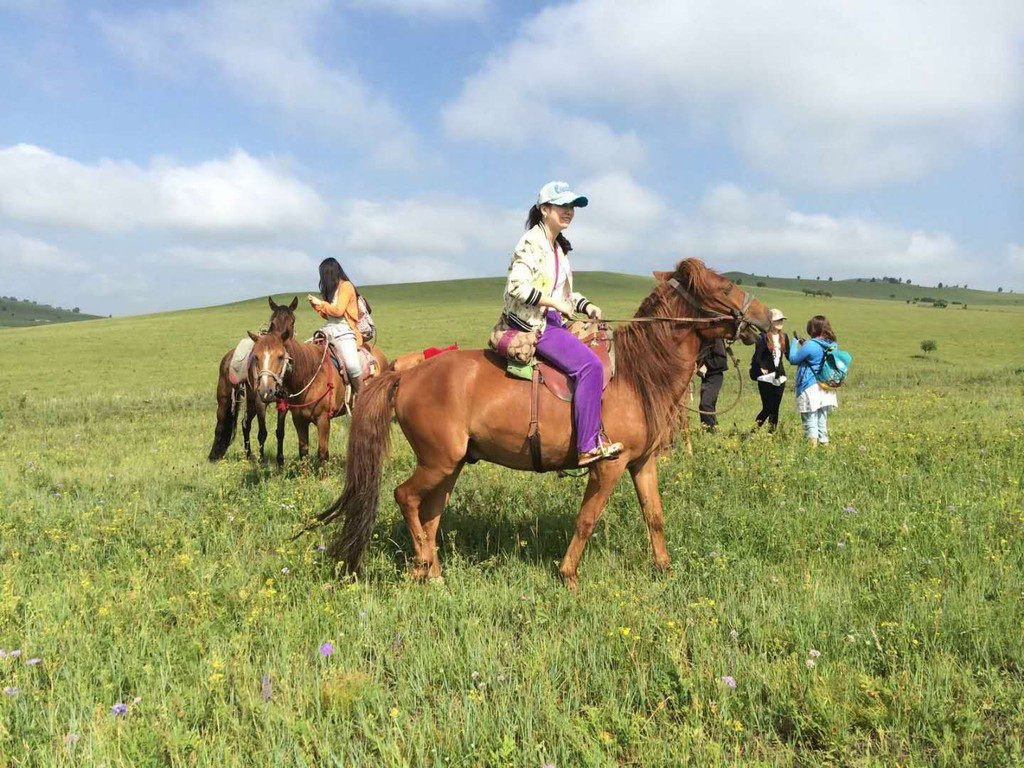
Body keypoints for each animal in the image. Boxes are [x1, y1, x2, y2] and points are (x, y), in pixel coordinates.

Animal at [206, 294, 296, 462]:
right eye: (273, 321)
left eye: (292, 321)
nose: (282, 341)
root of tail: (228, 357)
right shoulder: (261, 401)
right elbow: (262, 433)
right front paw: (262, 462)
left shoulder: (283, 402)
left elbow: (280, 432)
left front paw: (280, 461)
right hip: (225, 399)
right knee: (221, 425)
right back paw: (214, 456)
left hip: (250, 401)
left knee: (244, 423)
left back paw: (248, 456)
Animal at [249, 325, 389, 462]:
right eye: (256, 357)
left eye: (280, 356)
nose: (265, 391)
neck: (309, 377)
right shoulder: (299, 420)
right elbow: (303, 451)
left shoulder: (323, 420)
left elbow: (322, 453)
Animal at [315, 259, 770, 589]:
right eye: (723, 287)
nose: (771, 319)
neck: (636, 373)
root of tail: (407, 375)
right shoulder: (608, 465)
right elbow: (586, 520)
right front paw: (568, 576)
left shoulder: (642, 463)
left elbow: (654, 516)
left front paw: (665, 570)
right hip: (438, 461)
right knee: (405, 497)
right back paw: (424, 564)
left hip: (450, 464)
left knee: (430, 513)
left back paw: (433, 574)